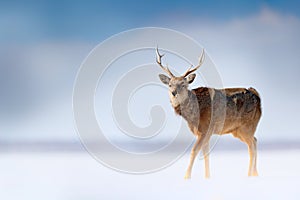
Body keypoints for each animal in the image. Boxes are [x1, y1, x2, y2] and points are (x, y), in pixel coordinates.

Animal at [156, 47, 262, 179]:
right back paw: (255, 173)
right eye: (170, 84)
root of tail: (257, 95)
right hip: (238, 130)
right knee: (255, 141)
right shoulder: (203, 132)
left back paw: (249, 174)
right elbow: (206, 154)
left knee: (251, 146)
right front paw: (207, 176)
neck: (193, 115)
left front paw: (186, 177)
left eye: (183, 84)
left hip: (247, 125)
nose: (173, 93)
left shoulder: (205, 129)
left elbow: (194, 151)